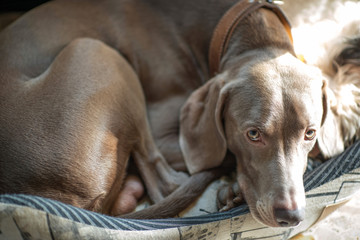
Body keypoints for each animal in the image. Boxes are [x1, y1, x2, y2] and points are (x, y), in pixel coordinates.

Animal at [0, 0, 326, 227]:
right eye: (253, 134)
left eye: (310, 133)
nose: (291, 215)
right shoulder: (168, 134)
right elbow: (219, 152)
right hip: (97, 53)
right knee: (164, 183)